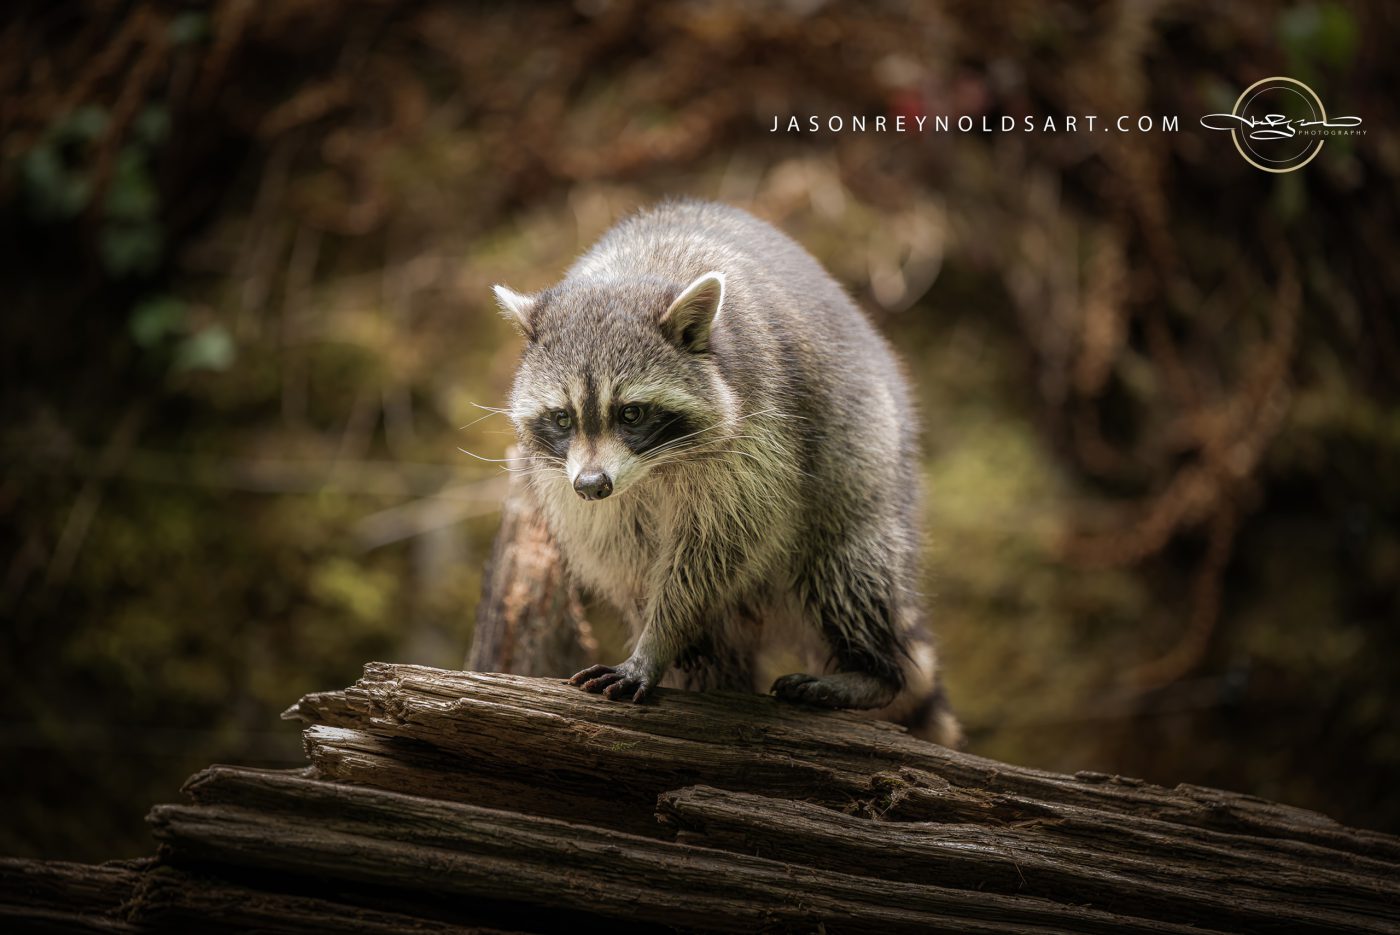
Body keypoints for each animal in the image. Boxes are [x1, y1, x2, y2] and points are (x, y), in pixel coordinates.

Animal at [494, 200, 961, 746]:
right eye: (563, 418)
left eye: (631, 413)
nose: (592, 486)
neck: (629, 274)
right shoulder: (573, 487)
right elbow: (622, 550)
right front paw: (655, 628)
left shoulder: (761, 433)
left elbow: (716, 547)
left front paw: (659, 638)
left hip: (867, 468)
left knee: (846, 568)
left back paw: (871, 671)